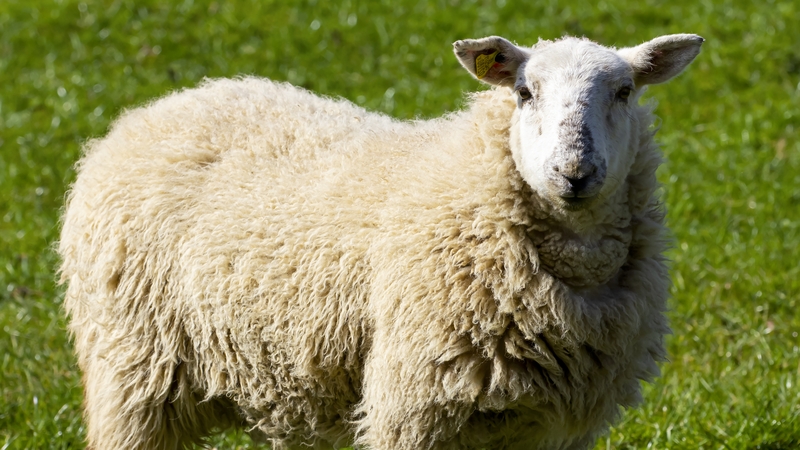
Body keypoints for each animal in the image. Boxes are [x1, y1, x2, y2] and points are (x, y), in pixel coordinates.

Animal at [58, 33, 703, 450]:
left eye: (624, 92)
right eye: (524, 92)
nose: (574, 172)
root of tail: (149, 112)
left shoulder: (544, 426)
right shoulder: (415, 403)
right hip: (132, 364)